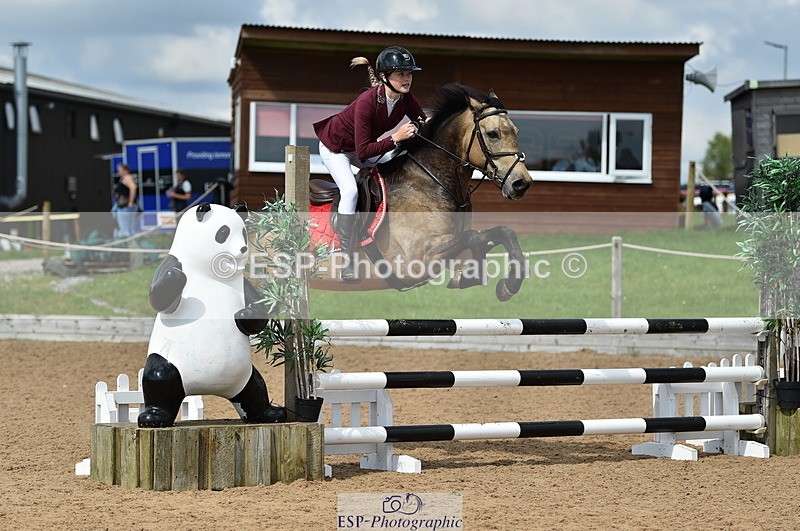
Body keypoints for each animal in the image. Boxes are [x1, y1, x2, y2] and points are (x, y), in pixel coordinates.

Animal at [308, 82, 533, 301]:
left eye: (516, 131)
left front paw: (508, 286)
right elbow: (474, 237)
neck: (431, 181)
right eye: (493, 134)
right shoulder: (419, 256)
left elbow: (502, 232)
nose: (521, 183)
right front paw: (468, 278)